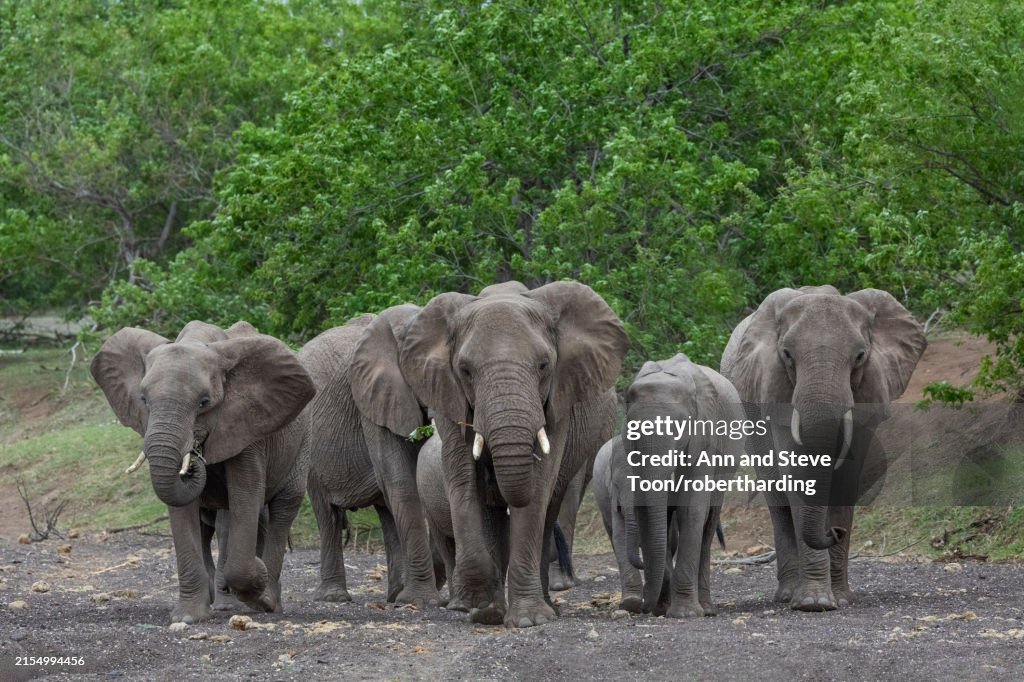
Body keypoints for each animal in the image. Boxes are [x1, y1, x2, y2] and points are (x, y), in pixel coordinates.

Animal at [91, 320, 315, 623]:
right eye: (144, 400)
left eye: (204, 402)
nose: (196, 454)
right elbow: (182, 510)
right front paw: (188, 617)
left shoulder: (248, 427)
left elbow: (246, 494)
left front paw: (257, 585)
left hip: (302, 444)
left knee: (282, 510)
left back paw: (268, 601)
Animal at [300, 306, 441, 606]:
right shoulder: (372, 400)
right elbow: (402, 482)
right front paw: (422, 601)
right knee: (327, 513)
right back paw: (335, 598)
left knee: (386, 510)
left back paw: (395, 594)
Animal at [397, 280, 628, 627]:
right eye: (465, 370)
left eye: (544, 365)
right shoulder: (448, 395)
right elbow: (462, 479)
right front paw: (482, 608)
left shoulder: (559, 397)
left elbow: (539, 486)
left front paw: (528, 620)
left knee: (549, 510)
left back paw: (547, 607)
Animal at [592, 354, 743, 617]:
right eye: (631, 428)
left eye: (681, 426)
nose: (646, 608)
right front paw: (657, 606)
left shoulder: (705, 435)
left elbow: (691, 509)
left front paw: (685, 613)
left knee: (708, 520)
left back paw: (706, 608)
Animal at [720, 286, 926, 611]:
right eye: (786, 354)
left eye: (860, 356)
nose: (835, 533)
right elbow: (796, 477)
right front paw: (814, 603)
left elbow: (847, 481)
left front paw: (840, 598)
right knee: (777, 499)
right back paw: (787, 595)